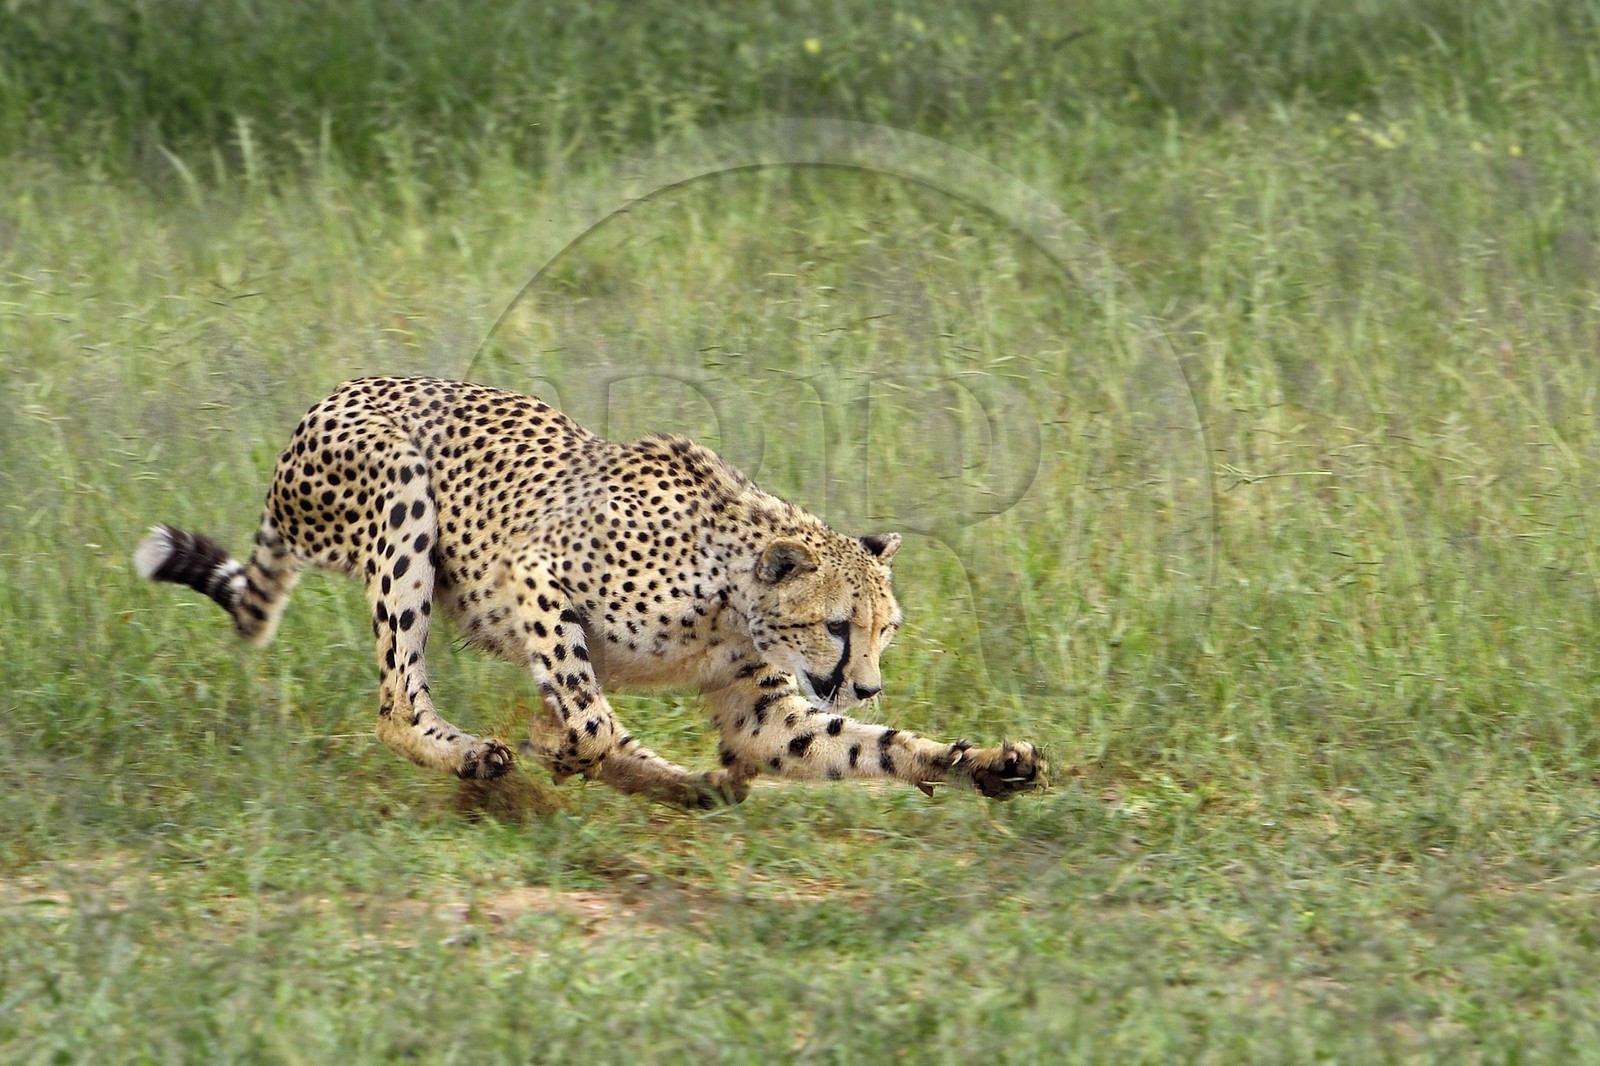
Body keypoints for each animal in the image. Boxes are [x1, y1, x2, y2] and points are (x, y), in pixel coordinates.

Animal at [134, 376, 1042, 809]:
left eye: (887, 631)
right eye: (837, 626)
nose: (868, 684)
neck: (732, 603)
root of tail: (335, 393)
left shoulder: (762, 713)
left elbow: (867, 746)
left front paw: (981, 762)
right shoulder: (532, 572)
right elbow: (592, 714)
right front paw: (575, 747)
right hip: (402, 499)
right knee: (395, 702)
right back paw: (480, 753)